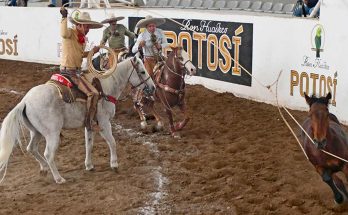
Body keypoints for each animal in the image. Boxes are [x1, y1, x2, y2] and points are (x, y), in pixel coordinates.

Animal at [0, 56, 155, 184]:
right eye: (142, 72)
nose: (153, 88)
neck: (106, 89)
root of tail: (25, 101)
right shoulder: (104, 123)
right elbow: (112, 142)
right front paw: (114, 164)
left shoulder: (89, 125)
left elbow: (89, 145)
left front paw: (89, 165)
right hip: (52, 134)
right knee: (48, 154)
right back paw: (59, 178)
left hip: (36, 132)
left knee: (31, 148)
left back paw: (44, 168)